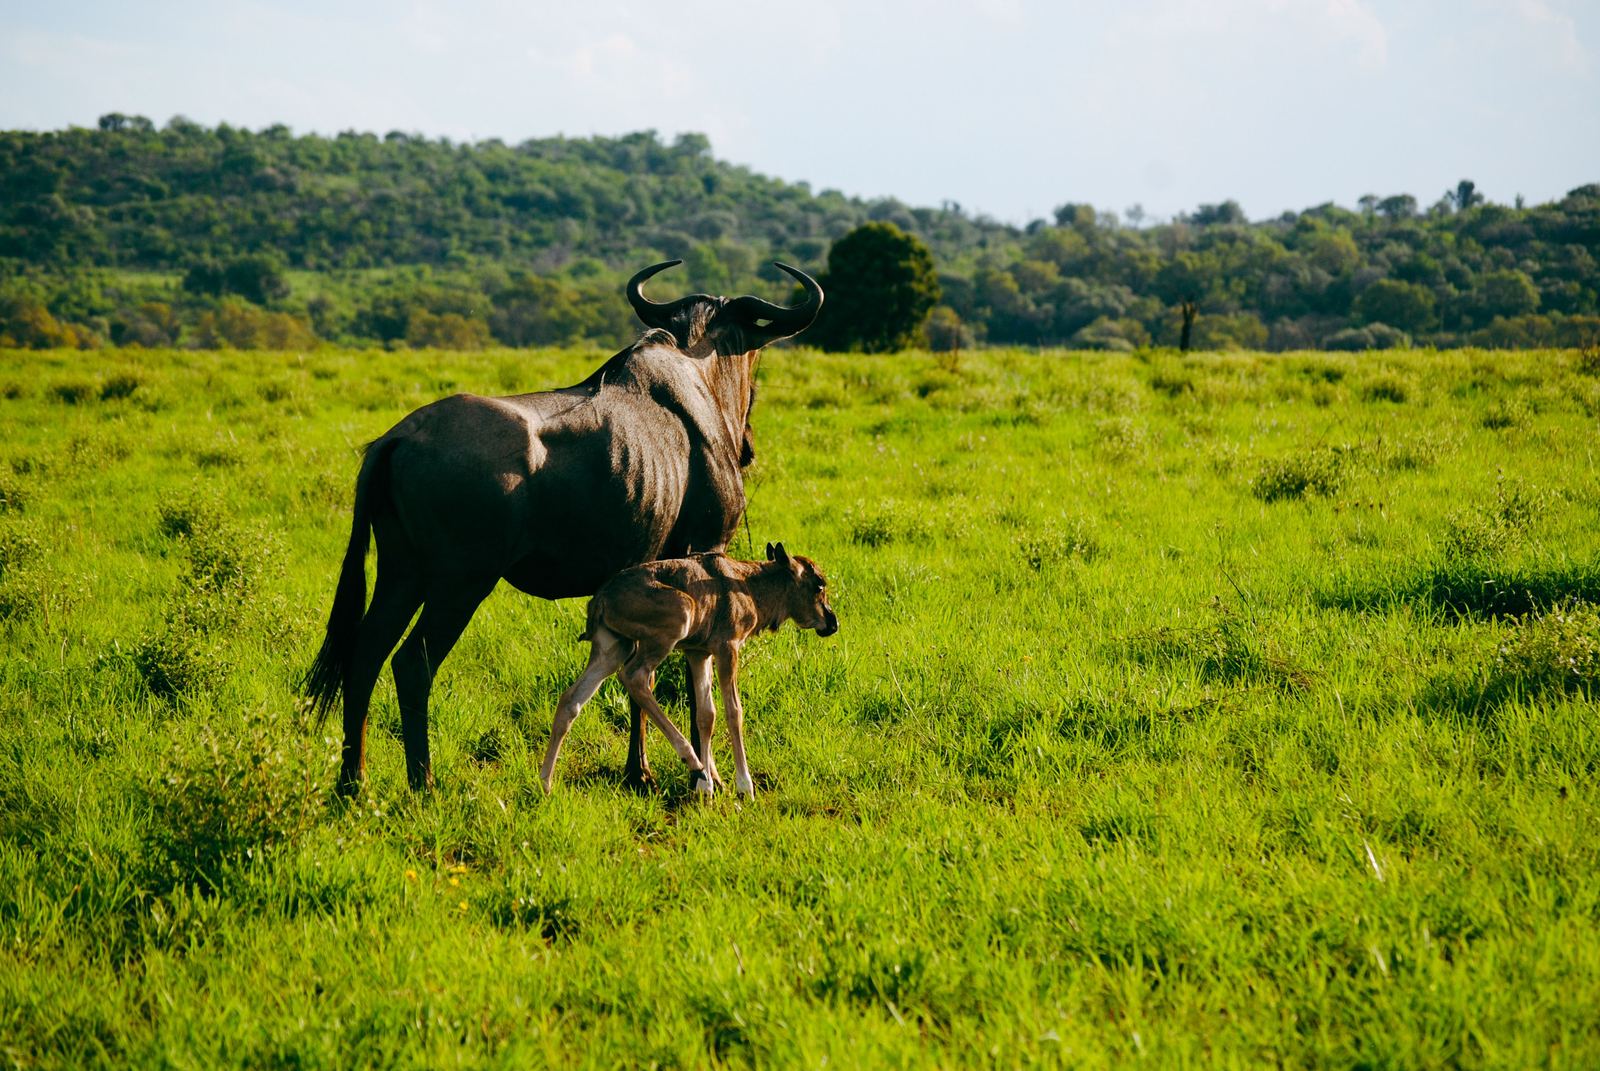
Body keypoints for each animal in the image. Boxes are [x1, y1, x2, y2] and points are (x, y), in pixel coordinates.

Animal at [303, 260, 823, 795]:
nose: (749, 444)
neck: (699, 372)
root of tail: (399, 437)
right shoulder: (705, 552)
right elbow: (690, 691)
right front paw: (697, 776)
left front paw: (641, 770)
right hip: (459, 585)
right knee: (413, 663)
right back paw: (422, 782)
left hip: (402, 574)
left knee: (365, 653)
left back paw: (353, 781)